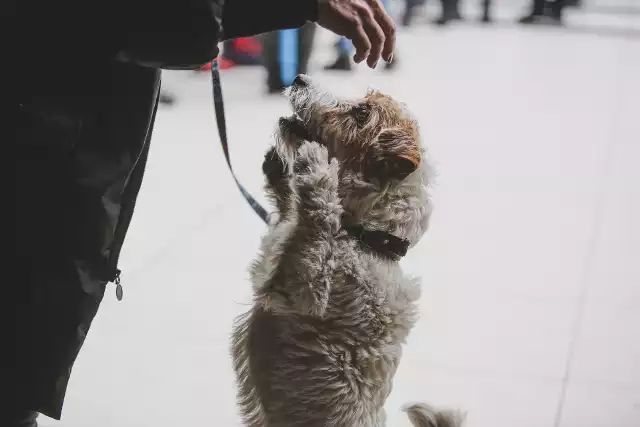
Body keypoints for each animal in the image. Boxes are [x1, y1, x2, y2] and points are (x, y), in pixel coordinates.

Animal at [232, 75, 462, 426]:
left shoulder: (302, 289)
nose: (298, 78)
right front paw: (281, 173)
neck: (367, 239)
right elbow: (288, 214)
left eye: (362, 113)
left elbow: (317, 221)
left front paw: (317, 171)